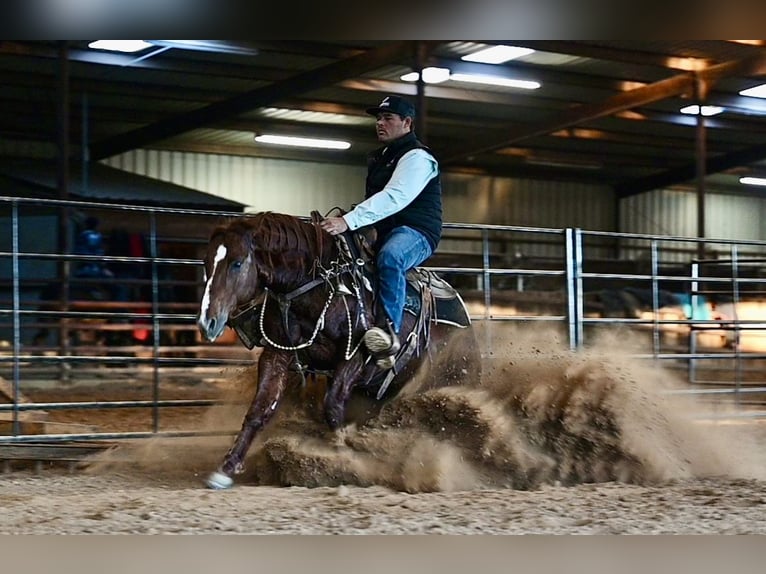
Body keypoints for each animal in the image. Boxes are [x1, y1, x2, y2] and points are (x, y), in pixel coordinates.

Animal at [196, 212, 481, 489]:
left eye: (237, 263)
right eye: (206, 262)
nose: (207, 322)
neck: (314, 286)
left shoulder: (355, 355)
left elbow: (332, 406)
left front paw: (342, 457)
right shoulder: (276, 353)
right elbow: (260, 408)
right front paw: (226, 468)